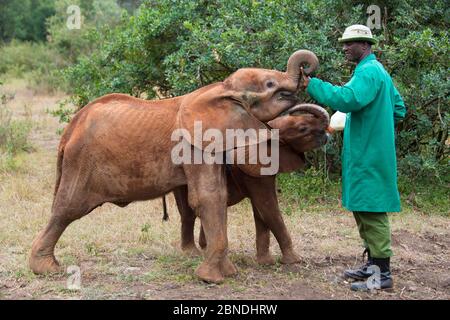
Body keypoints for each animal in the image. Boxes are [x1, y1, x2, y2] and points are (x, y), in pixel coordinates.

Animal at [171, 103, 328, 264]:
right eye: (302, 128)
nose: (326, 134)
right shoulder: (251, 171)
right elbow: (268, 208)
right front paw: (294, 260)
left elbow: (260, 211)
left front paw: (265, 262)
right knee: (188, 213)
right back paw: (192, 253)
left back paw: (205, 248)